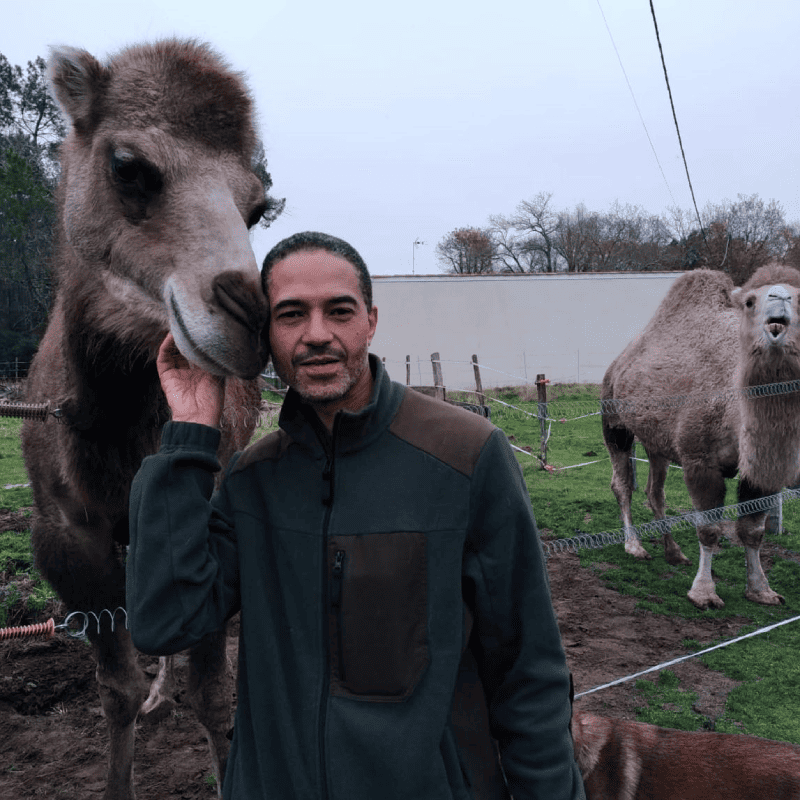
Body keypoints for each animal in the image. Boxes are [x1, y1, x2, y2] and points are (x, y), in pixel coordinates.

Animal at [20, 39, 274, 800]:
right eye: (128, 165)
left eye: (257, 206)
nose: (250, 318)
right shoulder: (64, 536)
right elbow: (117, 690)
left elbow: (214, 693)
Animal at [604, 266, 800, 608]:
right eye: (750, 301)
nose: (780, 302)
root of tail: (621, 360)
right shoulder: (700, 460)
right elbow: (709, 529)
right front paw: (704, 593)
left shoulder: (761, 471)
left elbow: (753, 530)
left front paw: (761, 590)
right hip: (613, 419)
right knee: (623, 484)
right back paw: (635, 546)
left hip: (658, 441)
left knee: (655, 491)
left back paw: (673, 552)